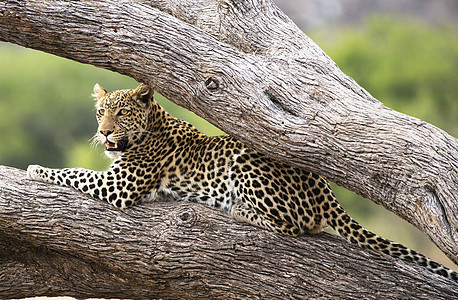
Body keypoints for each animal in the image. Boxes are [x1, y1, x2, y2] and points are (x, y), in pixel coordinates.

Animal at [28, 83, 458, 282]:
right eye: (100, 111)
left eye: (121, 113)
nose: (103, 132)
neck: (151, 127)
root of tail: (324, 188)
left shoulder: (120, 186)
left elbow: (73, 172)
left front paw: (35, 169)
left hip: (247, 160)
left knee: (296, 226)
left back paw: (240, 210)